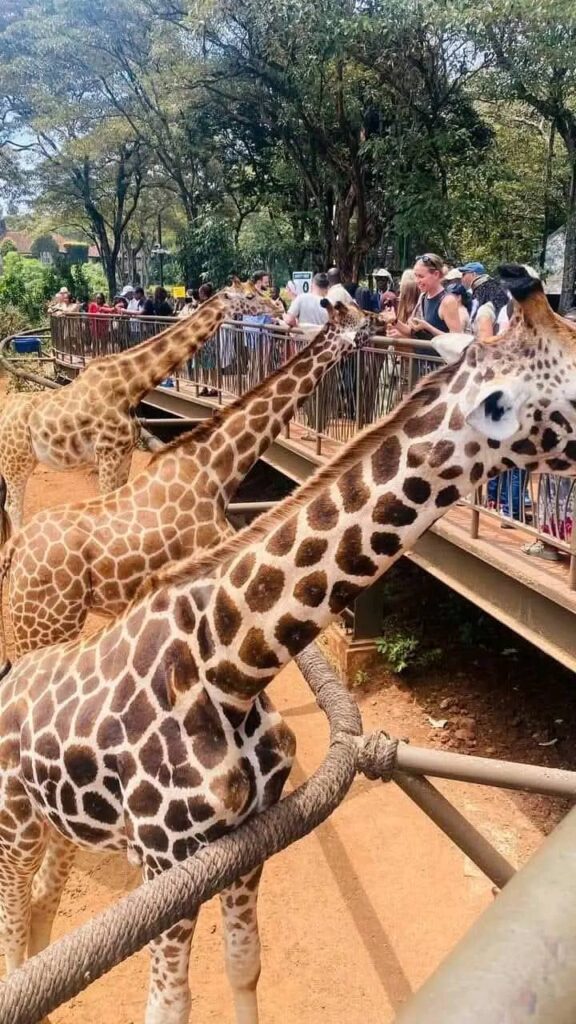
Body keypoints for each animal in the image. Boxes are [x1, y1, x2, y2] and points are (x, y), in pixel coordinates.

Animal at [0, 284, 280, 532]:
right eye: (250, 295)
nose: (276, 308)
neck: (131, 386)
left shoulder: (125, 454)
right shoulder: (108, 454)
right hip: (16, 462)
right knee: (13, 508)